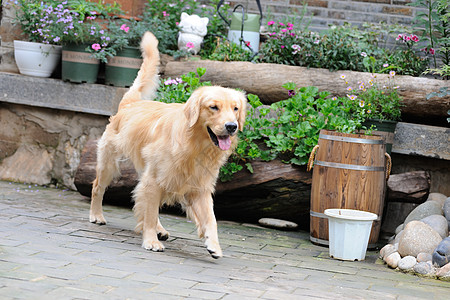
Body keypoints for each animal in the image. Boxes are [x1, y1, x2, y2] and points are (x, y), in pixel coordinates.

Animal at [88, 32, 248, 258]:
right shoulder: (155, 180)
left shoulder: (200, 186)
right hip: (110, 163)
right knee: (97, 187)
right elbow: (149, 212)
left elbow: (211, 219)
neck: (195, 146)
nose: (232, 126)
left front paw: (214, 245)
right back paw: (97, 215)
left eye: (235, 109)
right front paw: (150, 241)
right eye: (213, 107)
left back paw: (160, 229)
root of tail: (130, 103)